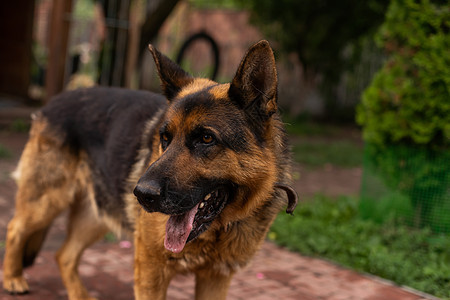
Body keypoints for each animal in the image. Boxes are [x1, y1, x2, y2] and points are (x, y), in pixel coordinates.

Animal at [4, 40, 298, 300]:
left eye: (206, 139)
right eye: (164, 139)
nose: (142, 194)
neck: (217, 229)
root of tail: (55, 100)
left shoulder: (215, 279)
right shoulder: (150, 269)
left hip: (97, 214)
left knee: (63, 255)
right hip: (46, 201)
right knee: (15, 228)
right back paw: (12, 278)